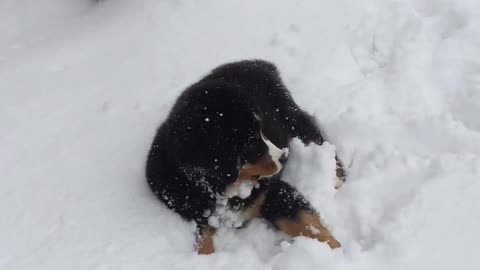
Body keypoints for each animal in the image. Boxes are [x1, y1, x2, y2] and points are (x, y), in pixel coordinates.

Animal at [146, 59, 344, 253]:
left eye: (262, 132)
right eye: (250, 142)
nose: (284, 156)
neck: (224, 189)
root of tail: (257, 63)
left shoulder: (272, 191)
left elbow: (306, 222)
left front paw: (337, 252)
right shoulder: (202, 214)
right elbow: (204, 243)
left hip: (293, 121)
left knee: (315, 137)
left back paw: (336, 177)